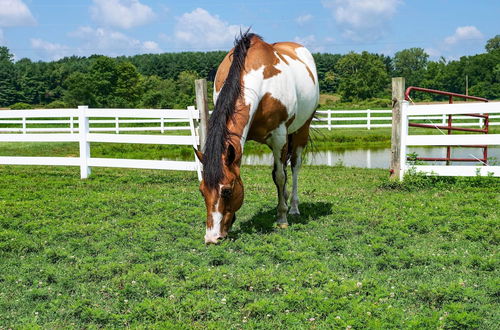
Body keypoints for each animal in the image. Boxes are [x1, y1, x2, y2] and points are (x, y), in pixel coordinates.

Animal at [196, 32, 320, 244]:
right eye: (202, 190)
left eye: (227, 190)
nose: (212, 238)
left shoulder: (279, 137)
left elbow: (279, 176)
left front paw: (282, 217)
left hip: (301, 130)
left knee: (294, 167)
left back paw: (293, 207)